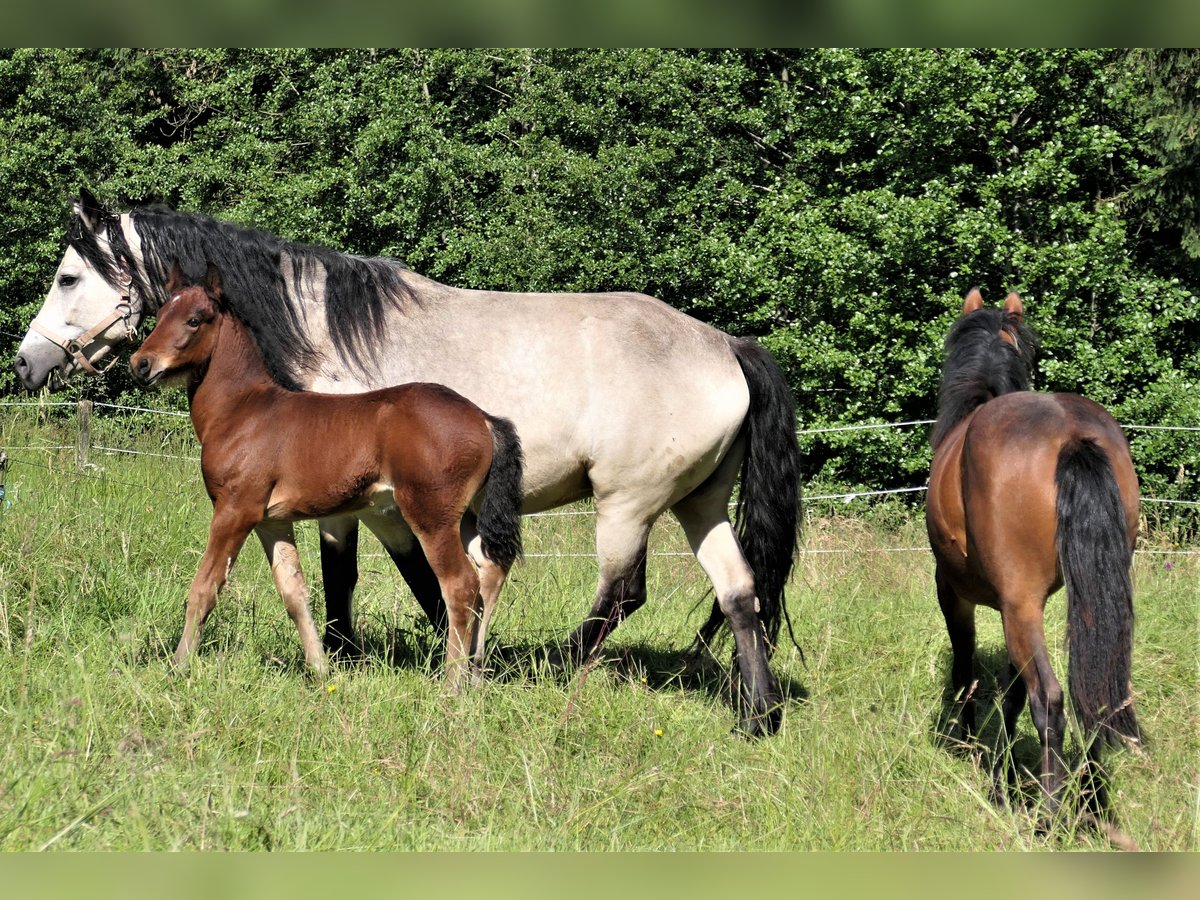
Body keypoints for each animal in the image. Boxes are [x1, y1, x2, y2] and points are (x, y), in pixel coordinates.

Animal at [131, 262, 525, 691]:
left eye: (194, 319)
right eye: (159, 314)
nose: (140, 364)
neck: (244, 411)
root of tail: (484, 419)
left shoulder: (234, 512)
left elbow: (204, 587)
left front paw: (178, 666)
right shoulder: (270, 521)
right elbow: (295, 593)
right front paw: (320, 669)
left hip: (431, 517)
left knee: (460, 584)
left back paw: (452, 683)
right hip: (467, 516)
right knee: (488, 573)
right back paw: (475, 673)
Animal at [921, 290, 1137, 825]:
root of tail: (1072, 433)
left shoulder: (955, 593)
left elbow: (968, 671)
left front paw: (972, 747)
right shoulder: (1018, 605)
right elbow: (1011, 689)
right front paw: (1000, 773)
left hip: (1016, 606)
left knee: (1051, 699)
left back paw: (1049, 814)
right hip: (1085, 601)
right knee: (1092, 693)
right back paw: (1089, 803)